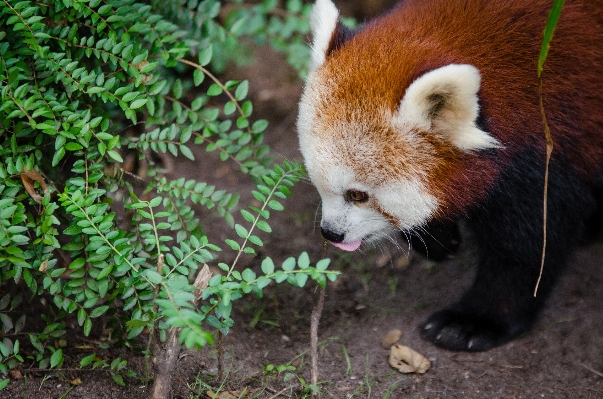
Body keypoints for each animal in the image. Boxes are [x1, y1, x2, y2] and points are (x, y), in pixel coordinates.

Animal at [300, 0, 603, 352]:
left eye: (358, 194)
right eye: (318, 184)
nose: (331, 233)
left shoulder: (548, 139)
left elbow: (529, 244)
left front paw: (475, 321)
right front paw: (435, 237)